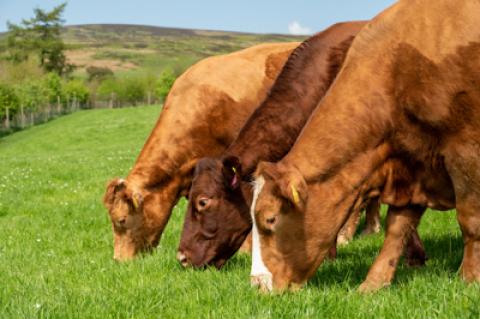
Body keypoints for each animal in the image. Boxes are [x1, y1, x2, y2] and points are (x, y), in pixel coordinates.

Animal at [249, 0, 480, 292]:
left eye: (271, 219)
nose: (257, 284)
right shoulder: (412, 163)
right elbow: (398, 228)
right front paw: (373, 283)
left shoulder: (466, 151)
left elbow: (470, 220)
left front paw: (469, 278)